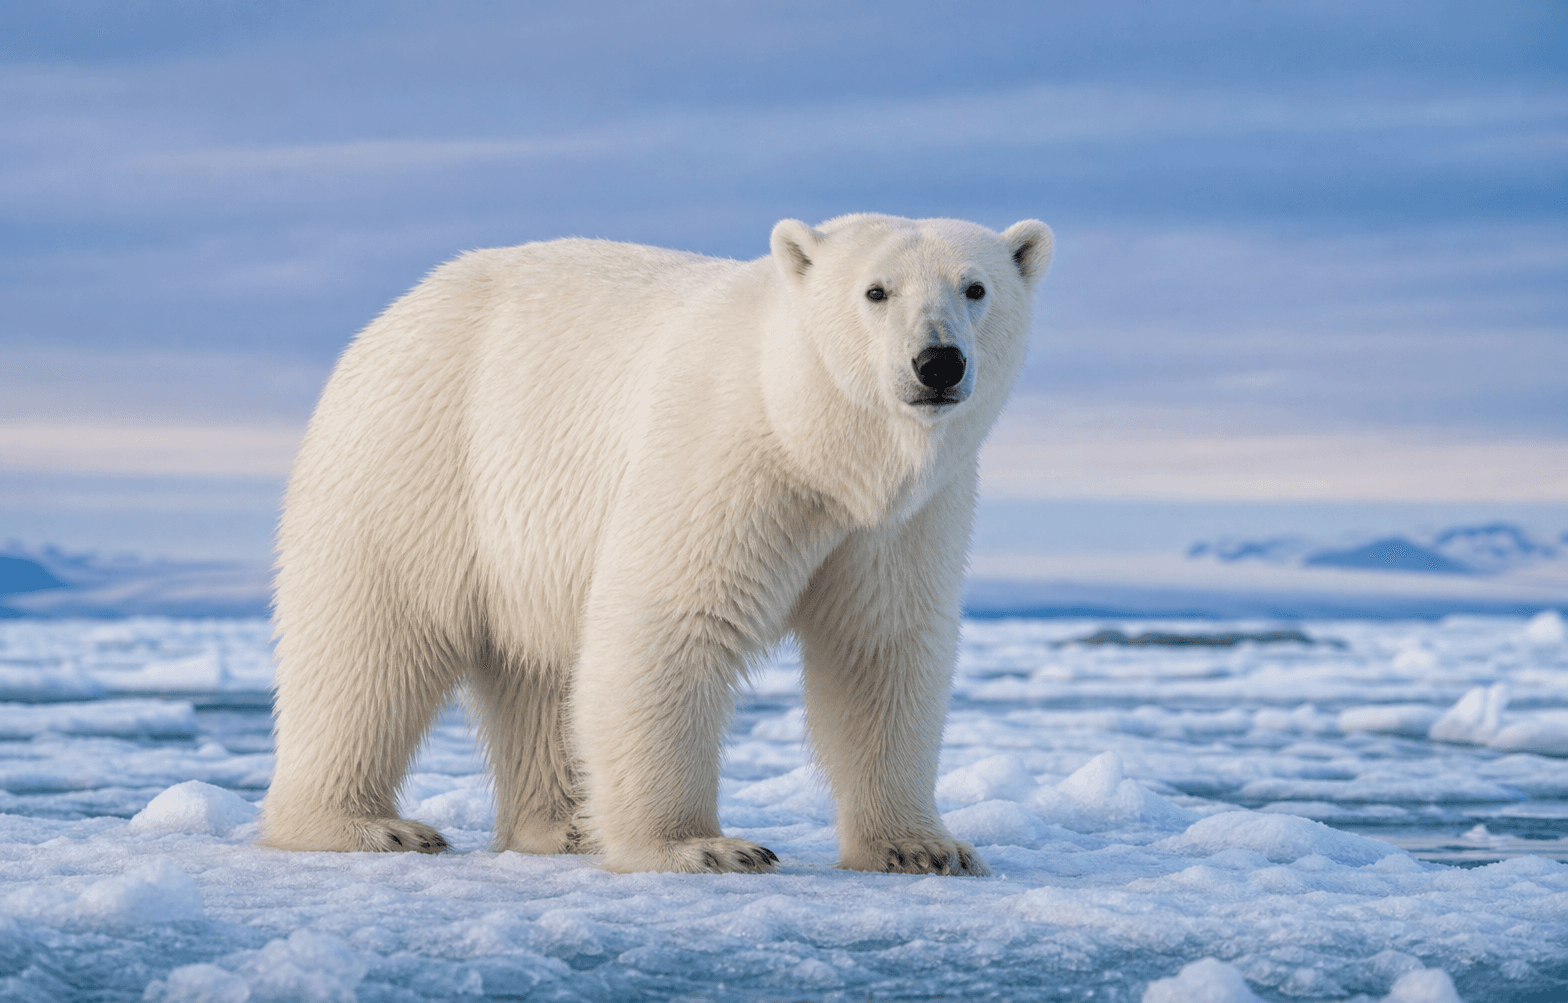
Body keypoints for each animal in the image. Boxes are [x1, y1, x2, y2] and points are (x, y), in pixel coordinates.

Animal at [262, 213, 1052, 874]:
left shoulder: (903, 520)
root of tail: (394, 312)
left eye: (976, 287)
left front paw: (924, 847)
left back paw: (566, 827)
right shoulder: (721, 456)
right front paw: (704, 846)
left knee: (537, 668)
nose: (938, 362)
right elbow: (671, 622)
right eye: (876, 291)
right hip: (422, 457)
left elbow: (882, 649)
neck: (817, 442)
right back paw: (369, 826)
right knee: (373, 642)